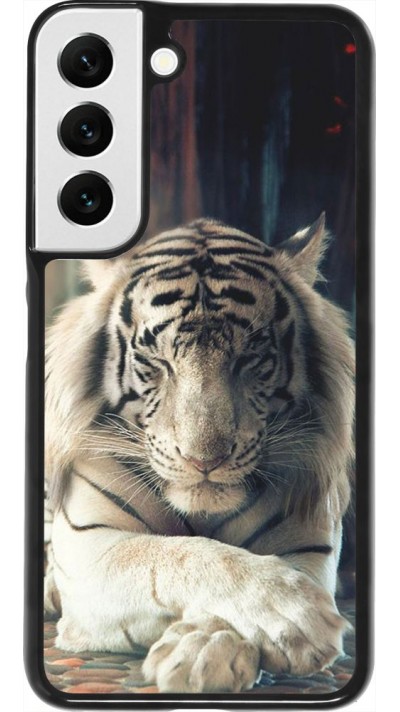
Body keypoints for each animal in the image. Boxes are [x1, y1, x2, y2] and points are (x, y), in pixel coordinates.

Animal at [44, 215, 354, 693]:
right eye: (156, 361)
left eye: (250, 358)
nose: (204, 461)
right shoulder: (90, 546)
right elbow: (179, 554)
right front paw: (295, 615)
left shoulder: (308, 546)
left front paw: (204, 651)